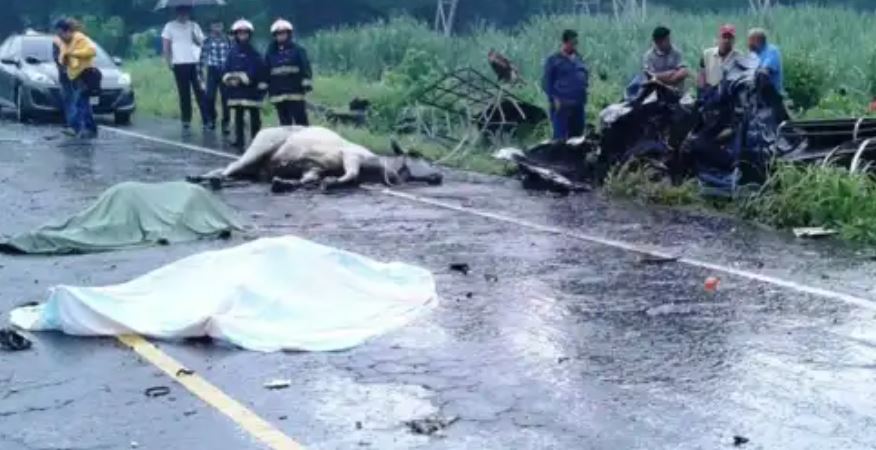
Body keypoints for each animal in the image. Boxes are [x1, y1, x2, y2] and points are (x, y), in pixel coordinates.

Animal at [189, 126, 444, 192]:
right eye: (418, 156)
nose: (439, 175)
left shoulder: (313, 169)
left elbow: (307, 179)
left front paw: (283, 183)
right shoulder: (351, 156)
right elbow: (349, 174)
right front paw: (331, 183)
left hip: (254, 168)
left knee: (228, 171)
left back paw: (201, 177)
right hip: (258, 149)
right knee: (230, 167)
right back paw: (205, 179)